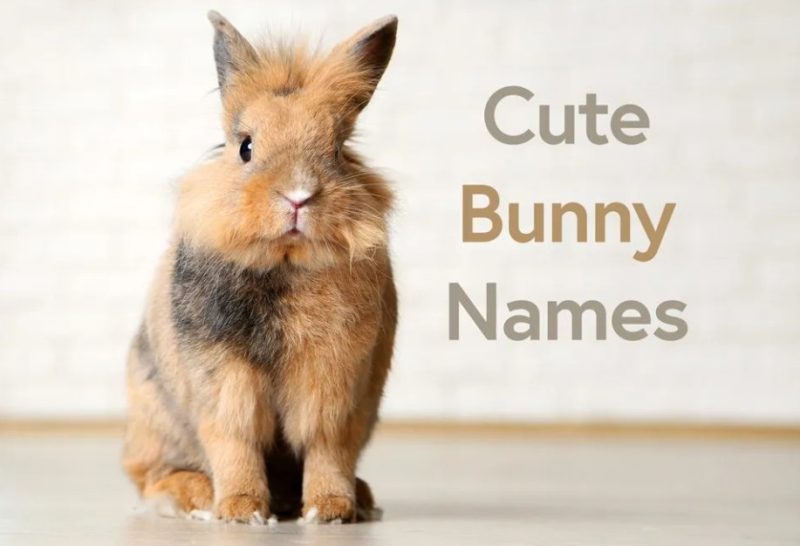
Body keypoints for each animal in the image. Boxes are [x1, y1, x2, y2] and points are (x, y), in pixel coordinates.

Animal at [122, 10, 398, 524]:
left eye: (337, 149)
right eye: (246, 147)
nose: (298, 196)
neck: (285, 264)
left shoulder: (334, 385)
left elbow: (329, 447)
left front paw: (330, 511)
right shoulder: (225, 383)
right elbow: (236, 443)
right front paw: (241, 511)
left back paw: (359, 498)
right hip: (155, 420)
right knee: (153, 477)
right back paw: (195, 497)